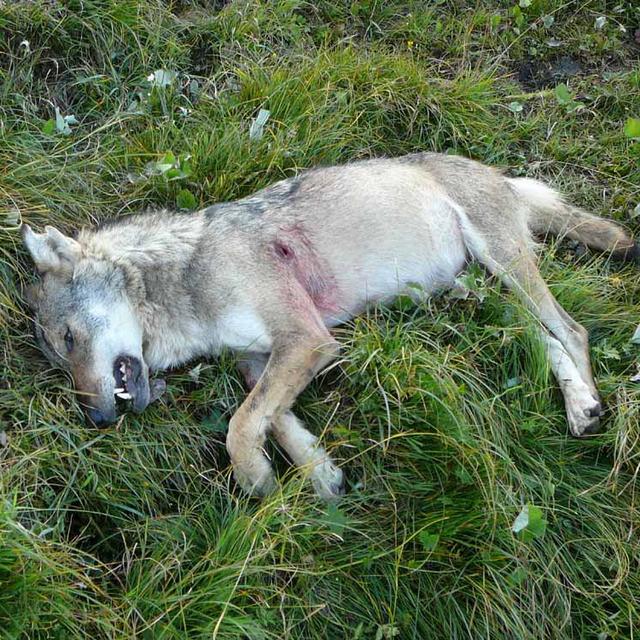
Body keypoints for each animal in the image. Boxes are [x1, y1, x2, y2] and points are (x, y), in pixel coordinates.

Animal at [21, 152, 640, 498]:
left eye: (70, 340)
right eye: (61, 360)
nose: (97, 419)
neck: (185, 278)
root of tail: (501, 175)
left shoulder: (307, 340)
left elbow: (240, 426)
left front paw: (254, 478)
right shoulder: (260, 361)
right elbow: (275, 422)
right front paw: (321, 478)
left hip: (504, 268)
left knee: (572, 330)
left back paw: (592, 413)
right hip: (476, 300)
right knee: (546, 341)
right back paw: (580, 405)